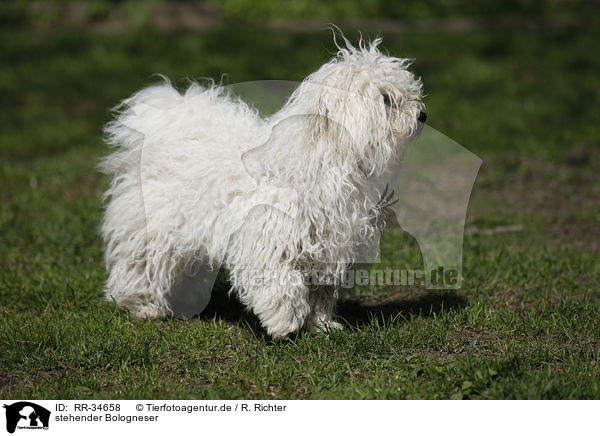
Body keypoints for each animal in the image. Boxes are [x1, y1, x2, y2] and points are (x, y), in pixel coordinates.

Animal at [99, 35, 426, 338]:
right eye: (386, 99)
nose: (422, 114)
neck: (325, 157)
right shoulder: (268, 238)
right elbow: (280, 282)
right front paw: (284, 321)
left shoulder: (331, 247)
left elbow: (320, 292)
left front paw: (321, 324)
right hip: (153, 226)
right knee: (139, 265)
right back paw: (141, 305)